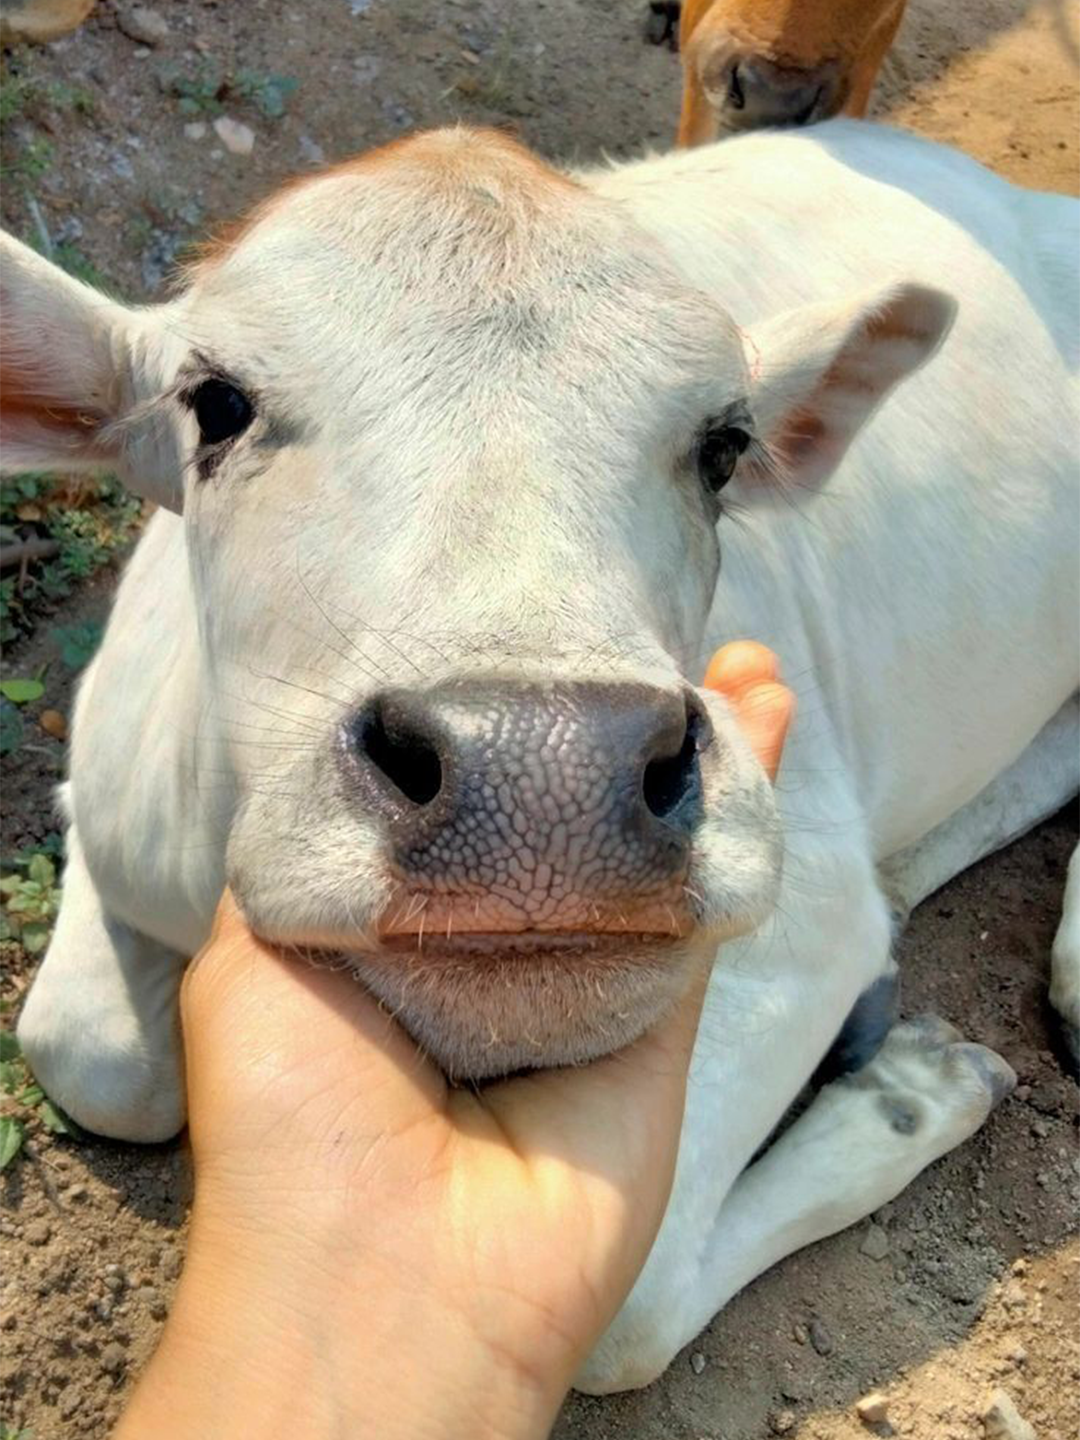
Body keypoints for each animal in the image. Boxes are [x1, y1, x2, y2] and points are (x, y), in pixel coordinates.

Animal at [2, 120, 1077, 1392]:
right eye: (216, 404)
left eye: (725, 448)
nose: (543, 782)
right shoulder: (108, 796)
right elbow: (87, 1054)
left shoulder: (808, 913)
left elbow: (627, 1314)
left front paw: (911, 1094)